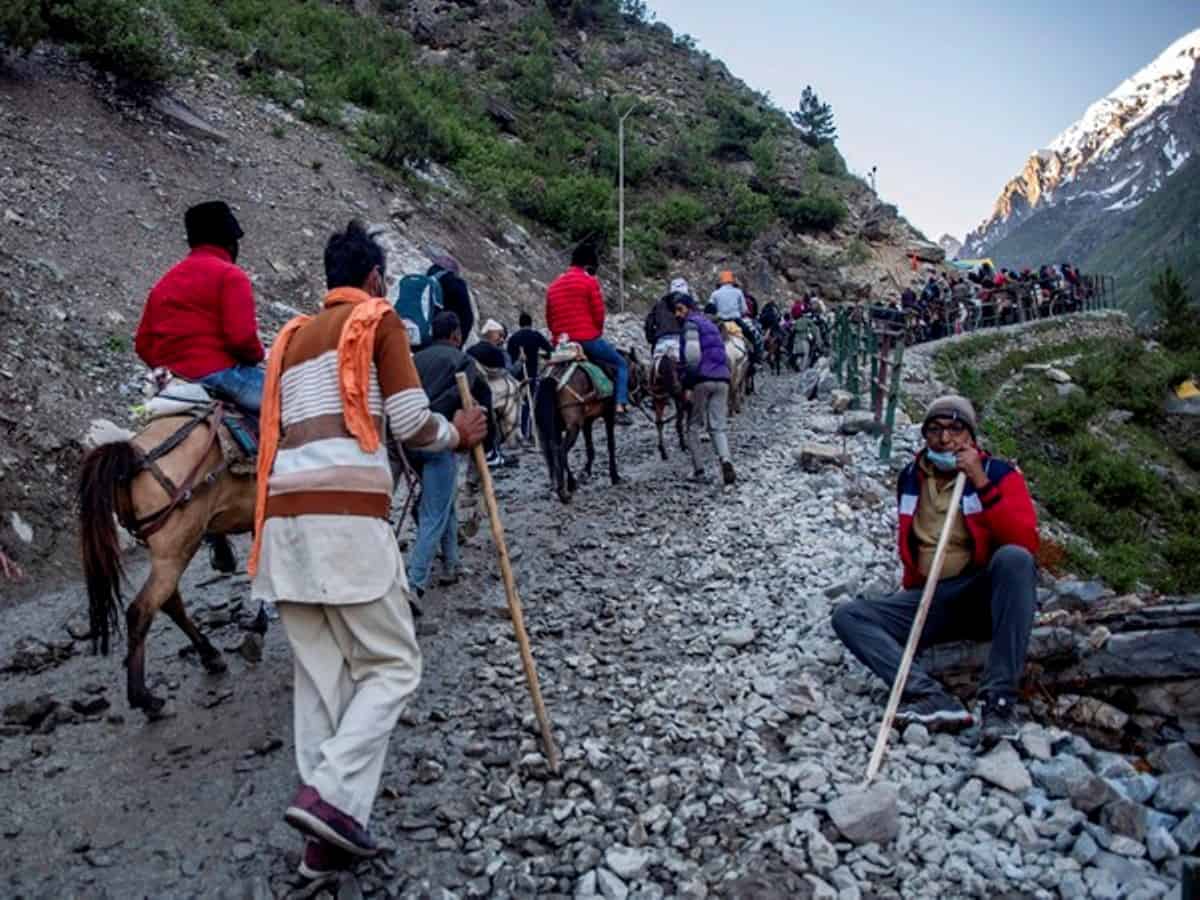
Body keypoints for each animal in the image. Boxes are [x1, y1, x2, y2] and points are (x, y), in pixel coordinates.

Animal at [76, 408, 253, 720]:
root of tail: (134, 458)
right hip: (177, 547)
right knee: (142, 610)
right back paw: (145, 698)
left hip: (169, 551)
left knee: (169, 602)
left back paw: (209, 655)